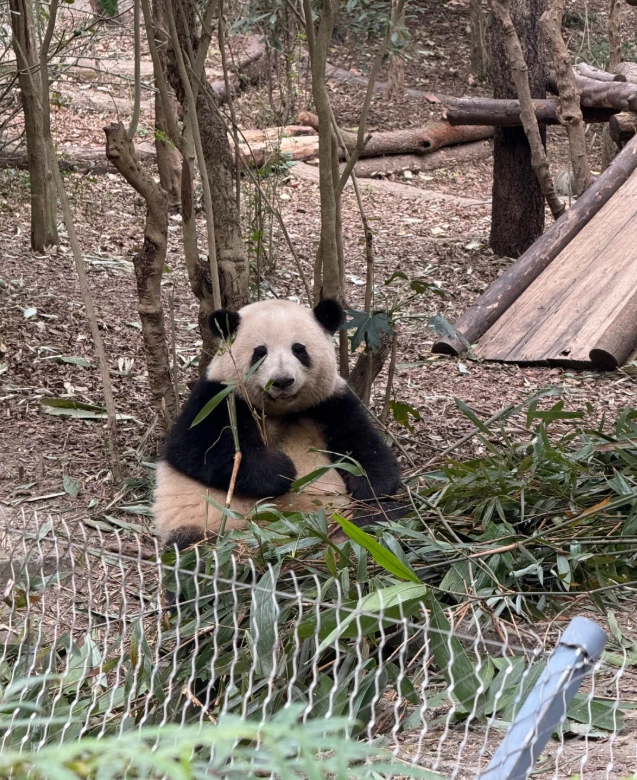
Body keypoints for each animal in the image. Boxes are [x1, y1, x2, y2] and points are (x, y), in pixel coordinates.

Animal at [153, 298, 402, 550]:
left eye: (299, 349)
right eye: (260, 352)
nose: (282, 381)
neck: (282, 411)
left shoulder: (329, 403)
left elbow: (363, 444)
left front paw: (367, 485)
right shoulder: (217, 396)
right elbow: (196, 450)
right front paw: (282, 471)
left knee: (386, 515)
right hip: (204, 529)